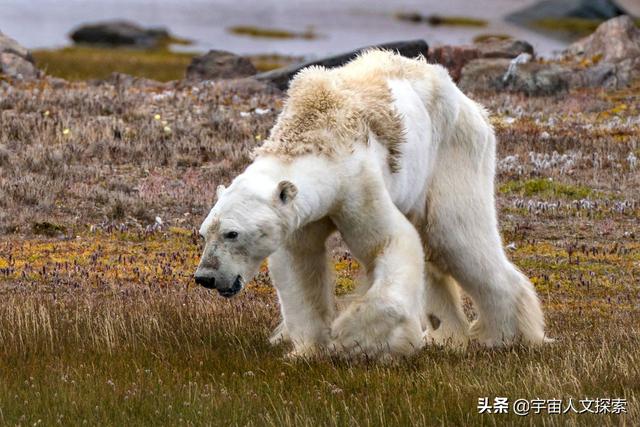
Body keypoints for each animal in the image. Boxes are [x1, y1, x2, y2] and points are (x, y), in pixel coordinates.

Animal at [192, 48, 548, 360]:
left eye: (232, 233)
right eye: (204, 233)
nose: (205, 277)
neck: (314, 134)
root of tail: (471, 104)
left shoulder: (357, 183)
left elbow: (390, 242)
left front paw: (353, 338)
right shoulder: (301, 215)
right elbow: (299, 265)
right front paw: (307, 349)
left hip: (452, 153)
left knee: (456, 237)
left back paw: (506, 336)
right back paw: (445, 335)